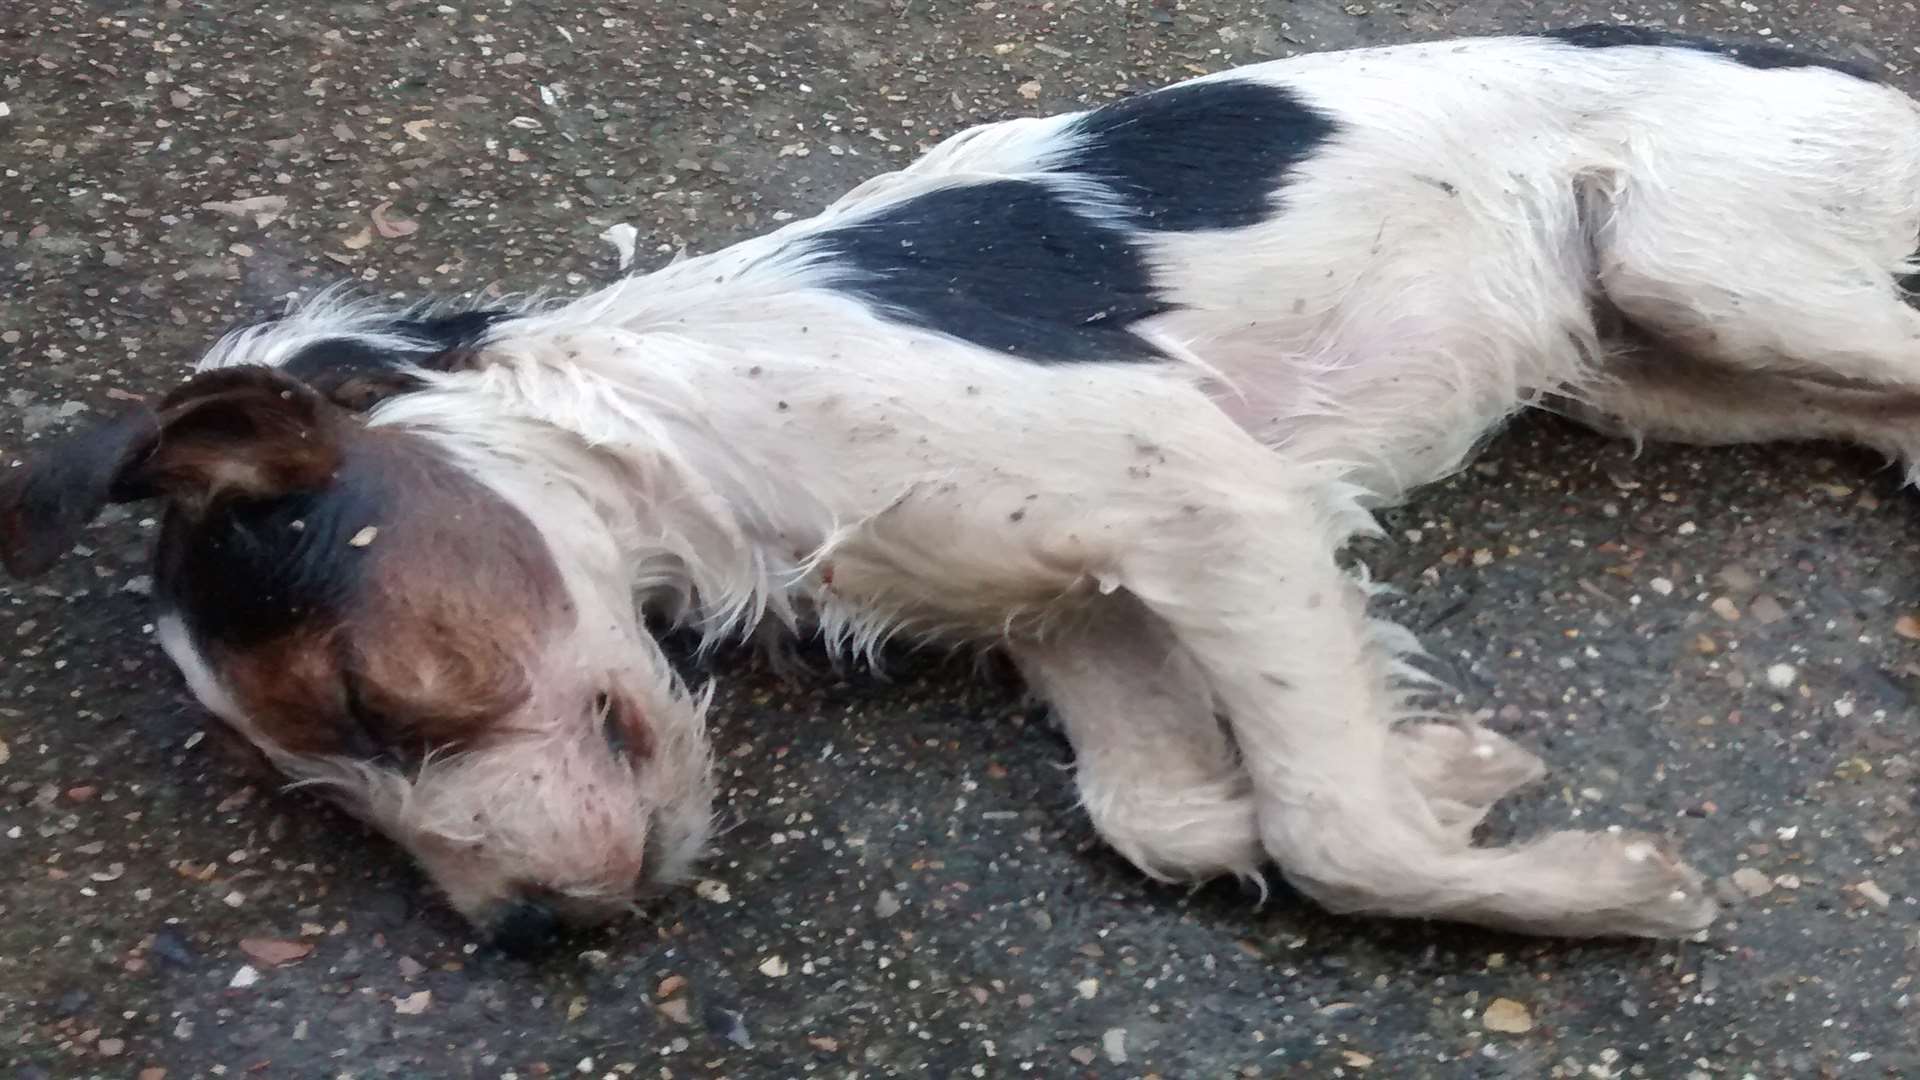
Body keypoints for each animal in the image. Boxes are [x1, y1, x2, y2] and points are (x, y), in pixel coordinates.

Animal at [3, 27, 1920, 949]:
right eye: (313, 792)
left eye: (366, 698)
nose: (529, 938)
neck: (679, 418)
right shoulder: (1077, 607)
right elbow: (1167, 815)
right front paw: (1454, 771)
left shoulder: (1209, 499)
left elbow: (1330, 829)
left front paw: (1595, 889)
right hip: (1662, 368)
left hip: (1699, 261)